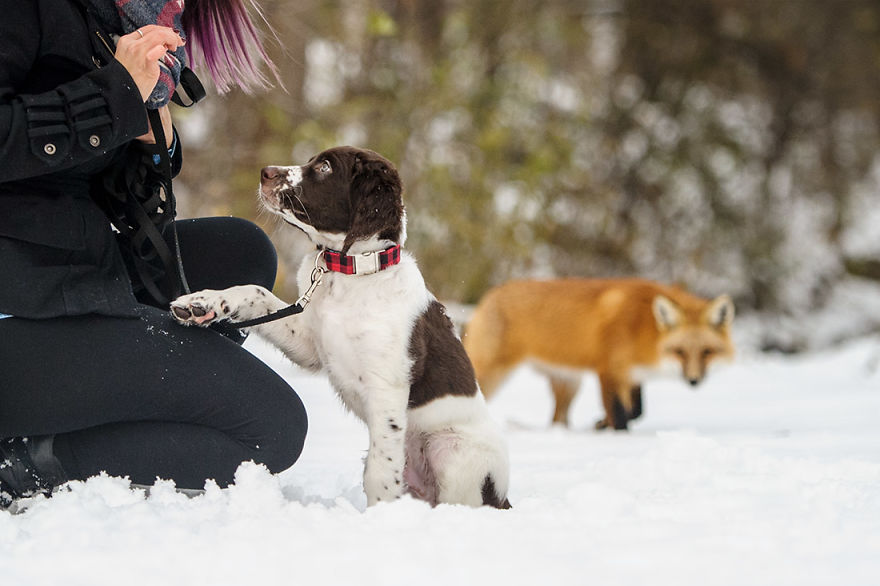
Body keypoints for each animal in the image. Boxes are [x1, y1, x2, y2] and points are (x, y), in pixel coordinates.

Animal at [462, 278, 735, 430]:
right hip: (490, 374)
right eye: (679, 351)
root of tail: (490, 295)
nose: (693, 380)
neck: (642, 327)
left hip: (569, 384)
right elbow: (620, 416)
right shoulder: (608, 370)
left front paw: (601, 424)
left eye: (707, 352)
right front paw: (613, 432)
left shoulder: (632, 376)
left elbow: (637, 411)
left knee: (558, 419)